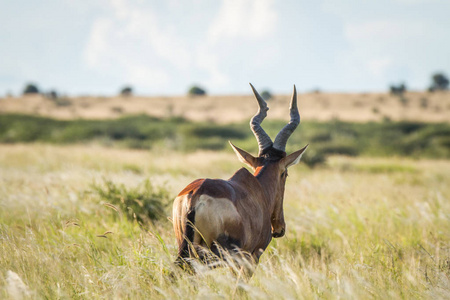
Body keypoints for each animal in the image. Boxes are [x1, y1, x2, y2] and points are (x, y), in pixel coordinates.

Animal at [171, 83, 306, 270]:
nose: (279, 229)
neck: (257, 188)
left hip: (184, 248)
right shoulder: (251, 257)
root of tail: (195, 196)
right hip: (216, 256)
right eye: (285, 173)